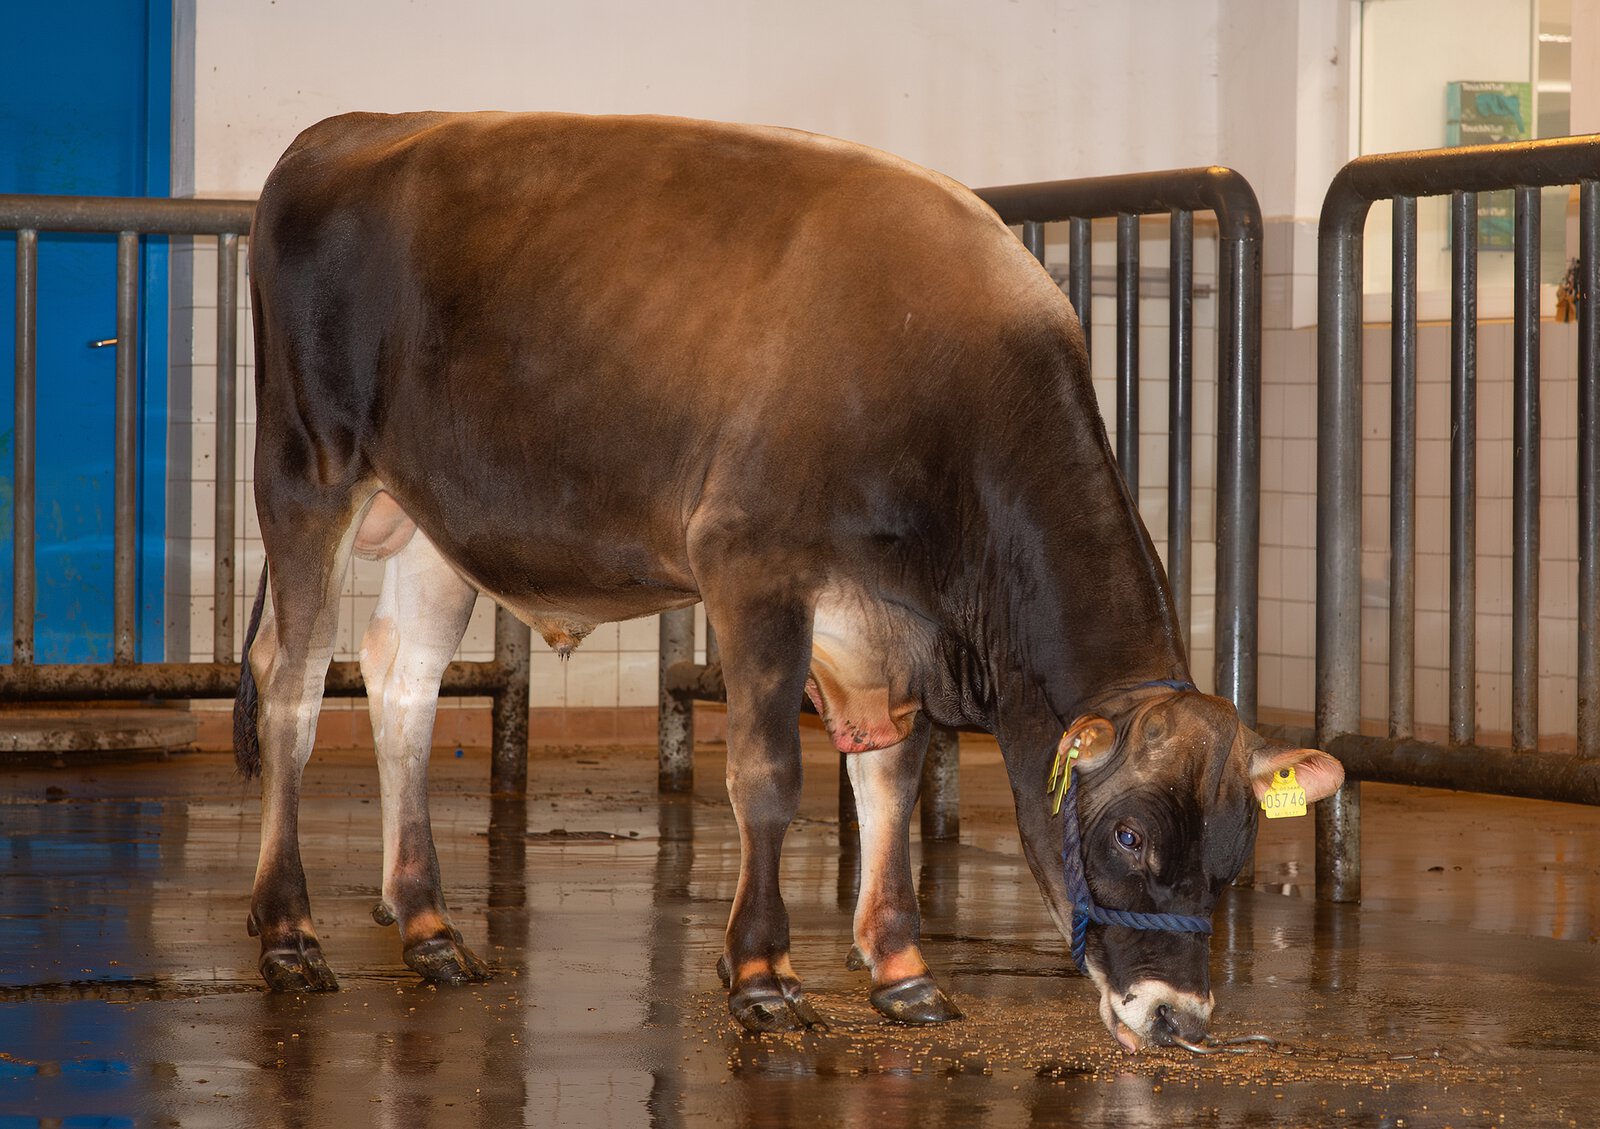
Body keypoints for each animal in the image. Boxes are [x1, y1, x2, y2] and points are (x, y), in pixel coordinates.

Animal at [234, 111, 1343, 1052]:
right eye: (1126, 831)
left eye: (1236, 851)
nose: (1179, 1020)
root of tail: (346, 131)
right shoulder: (751, 565)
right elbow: (769, 778)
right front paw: (763, 977)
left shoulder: (885, 621)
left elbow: (888, 781)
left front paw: (901, 969)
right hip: (305, 469)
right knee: (293, 685)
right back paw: (288, 932)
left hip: (430, 516)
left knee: (403, 682)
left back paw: (426, 922)